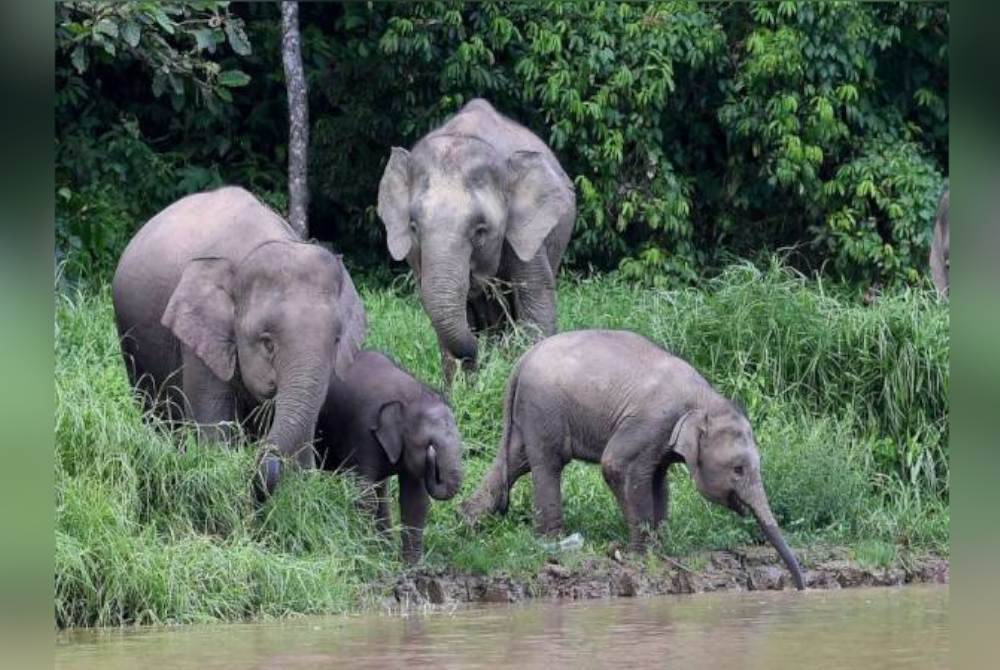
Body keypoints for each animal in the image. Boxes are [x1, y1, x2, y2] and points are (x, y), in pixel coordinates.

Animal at [316, 352, 464, 568]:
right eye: (430, 444)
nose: (432, 460)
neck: (409, 397)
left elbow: (415, 500)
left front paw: (410, 566)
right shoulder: (363, 431)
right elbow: (365, 495)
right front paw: (369, 554)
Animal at [376, 99, 580, 384]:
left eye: (481, 230)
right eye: (414, 227)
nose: (477, 353)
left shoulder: (526, 234)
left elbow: (536, 298)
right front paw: (462, 388)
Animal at [460, 334, 804, 592]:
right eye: (738, 469)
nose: (801, 586)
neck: (705, 400)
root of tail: (522, 359)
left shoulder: (662, 438)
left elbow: (659, 479)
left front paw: (660, 544)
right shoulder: (652, 422)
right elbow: (616, 465)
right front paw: (642, 551)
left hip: (529, 414)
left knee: (516, 460)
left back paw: (469, 522)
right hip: (544, 407)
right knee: (548, 463)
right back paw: (552, 541)